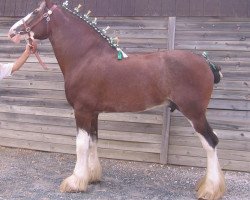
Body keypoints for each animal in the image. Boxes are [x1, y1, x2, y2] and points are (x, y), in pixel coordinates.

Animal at [8, 0, 226, 199]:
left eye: (35, 11)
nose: (12, 31)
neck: (86, 57)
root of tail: (206, 62)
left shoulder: (81, 110)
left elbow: (81, 144)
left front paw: (75, 182)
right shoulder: (93, 112)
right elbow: (93, 140)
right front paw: (92, 176)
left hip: (194, 113)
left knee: (211, 142)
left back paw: (210, 189)